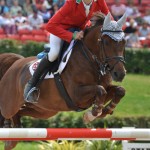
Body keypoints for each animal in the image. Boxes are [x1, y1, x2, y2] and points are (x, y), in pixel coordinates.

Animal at [0, 12, 126, 150]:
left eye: (124, 42)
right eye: (106, 42)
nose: (120, 74)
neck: (91, 60)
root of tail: (15, 63)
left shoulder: (100, 90)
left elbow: (119, 90)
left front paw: (105, 111)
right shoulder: (76, 95)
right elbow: (100, 90)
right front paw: (92, 114)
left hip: (44, 110)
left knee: (20, 113)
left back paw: (12, 137)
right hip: (8, 104)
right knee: (9, 112)